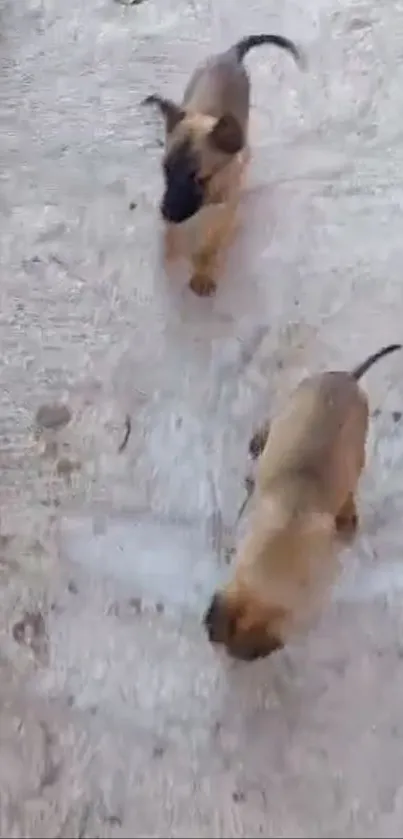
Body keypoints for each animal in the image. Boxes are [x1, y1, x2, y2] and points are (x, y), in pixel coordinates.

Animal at [144, 36, 304, 298]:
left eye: (200, 178)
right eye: (165, 170)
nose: (166, 213)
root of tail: (230, 54)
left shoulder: (225, 210)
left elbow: (210, 245)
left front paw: (202, 272)